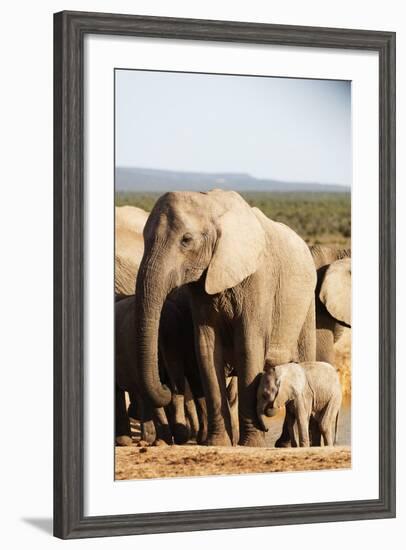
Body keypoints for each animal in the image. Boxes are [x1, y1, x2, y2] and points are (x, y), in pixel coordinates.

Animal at [134, 190, 318, 448]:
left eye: (186, 240)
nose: (166, 386)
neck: (212, 204)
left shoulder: (259, 278)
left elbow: (248, 345)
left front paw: (251, 445)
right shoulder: (201, 285)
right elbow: (207, 348)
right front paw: (218, 443)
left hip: (307, 304)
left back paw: (286, 444)